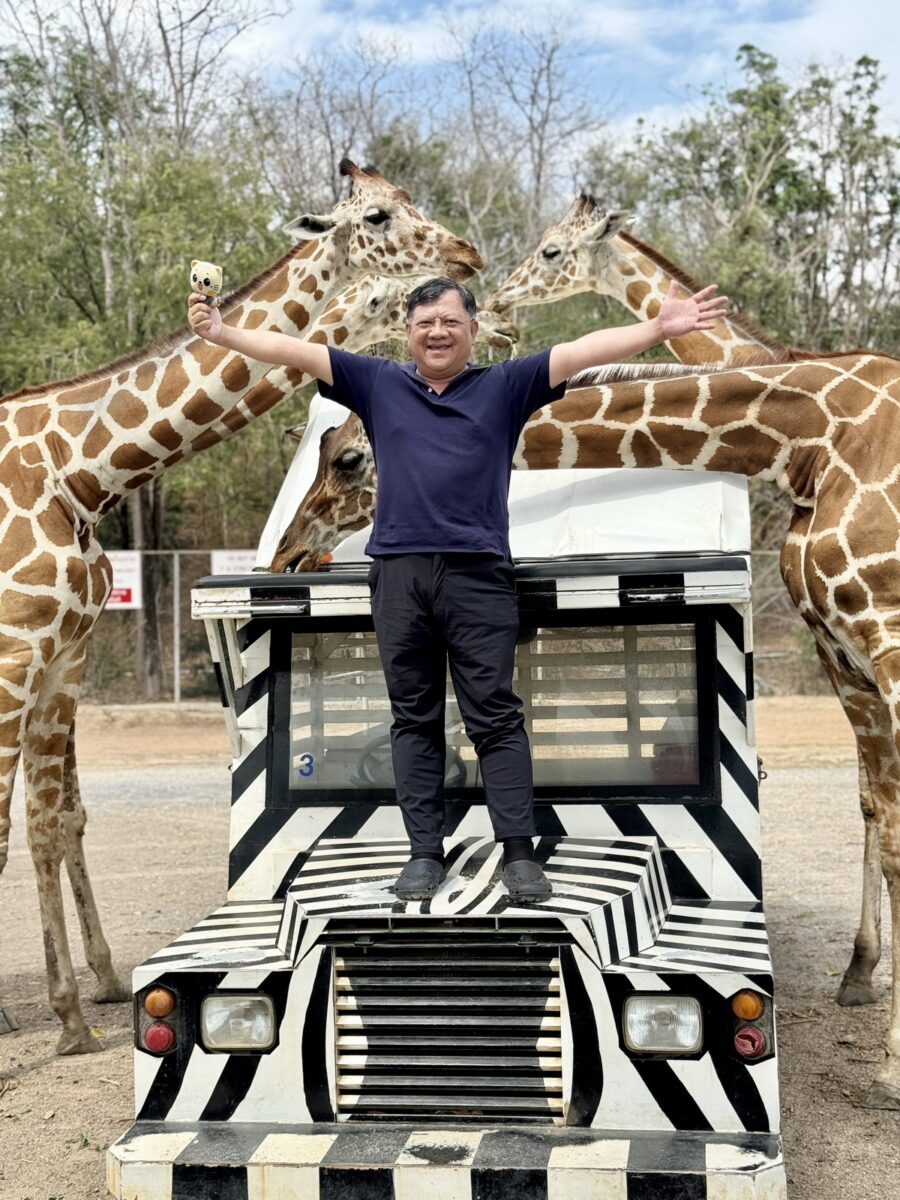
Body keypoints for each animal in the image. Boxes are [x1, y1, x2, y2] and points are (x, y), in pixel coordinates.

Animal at [0, 157, 487, 1051]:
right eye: (376, 217)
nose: (466, 256)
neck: (79, 469)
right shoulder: (18, 648)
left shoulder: (63, 655)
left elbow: (58, 820)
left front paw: (80, 1006)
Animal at [271, 352, 900, 1104]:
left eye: (347, 459)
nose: (286, 555)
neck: (811, 439)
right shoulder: (844, 655)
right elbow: (880, 817)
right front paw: (866, 989)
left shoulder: (888, 635)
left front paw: (892, 1063)